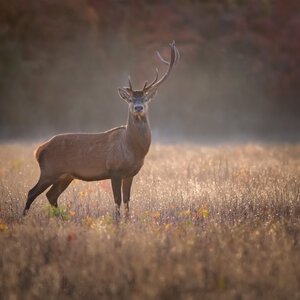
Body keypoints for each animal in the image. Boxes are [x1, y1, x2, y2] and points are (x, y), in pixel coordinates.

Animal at [23, 40, 179, 218]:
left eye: (145, 99)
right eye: (130, 99)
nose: (138, 107)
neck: (132, 149)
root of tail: (39, 150)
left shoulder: (130, 173)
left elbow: (127, 200)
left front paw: (127, 220)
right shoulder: (114, 170)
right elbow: (117, 200)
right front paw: (117, 221)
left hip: (66, 175)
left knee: (51, 195)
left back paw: (60, 218)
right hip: (49, 170)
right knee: (32, 192)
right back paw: (24, 217)